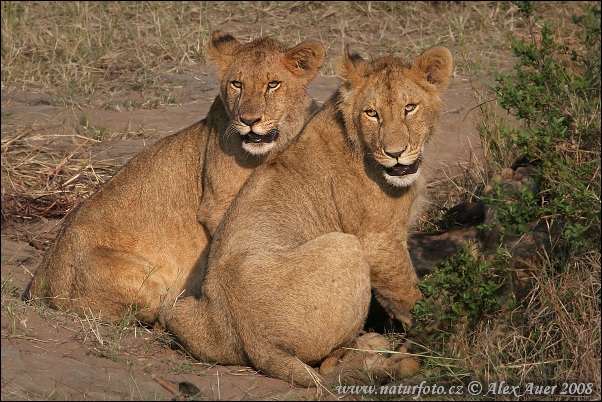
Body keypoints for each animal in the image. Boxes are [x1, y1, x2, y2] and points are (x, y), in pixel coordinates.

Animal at [24, 32, 324, 326]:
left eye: (273, 84)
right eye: (237, 84)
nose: (249, 120)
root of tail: (39, 283)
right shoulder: (219, 205)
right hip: (143, 281)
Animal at [162, 44, 452, 386]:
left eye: (410, 108)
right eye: (372, 113)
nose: (395, 153)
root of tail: (257, 344)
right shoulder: (378, 242)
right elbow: (409, 294)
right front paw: (439, 326)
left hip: (178, 306)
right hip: (345, 246)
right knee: (330, 365)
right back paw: (373, 346)